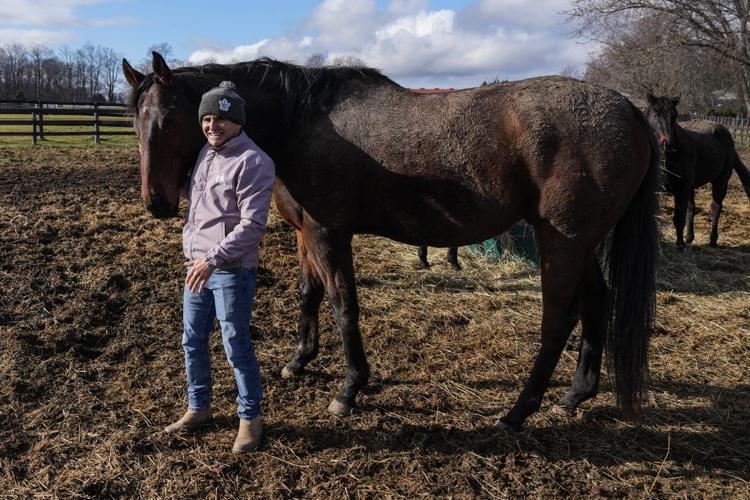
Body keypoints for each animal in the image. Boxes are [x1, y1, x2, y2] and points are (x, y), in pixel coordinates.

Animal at [123, 52, 659, 431]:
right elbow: (308, 294)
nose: (157, 202)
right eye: (134, 120)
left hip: (562, 242)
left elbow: (343, 304)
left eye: (169, 119)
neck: (301, 122)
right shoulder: (305, 234)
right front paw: (299, 361)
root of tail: (627, 107)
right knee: (598, 302)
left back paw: (518, 411)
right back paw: (575, 395)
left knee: (559, 319)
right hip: (582, 243)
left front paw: (350, 387)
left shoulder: (329, 233)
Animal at [645, 94, 750, 247]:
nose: (668, 144)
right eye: (654, 115)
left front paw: (680, 245)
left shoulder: (681, 189)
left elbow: (679, 219)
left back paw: (712, 240)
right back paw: (689, 237)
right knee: (692, 208)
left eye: (674, 116)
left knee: (716, 208)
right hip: (692, 187)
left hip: (720, 181)